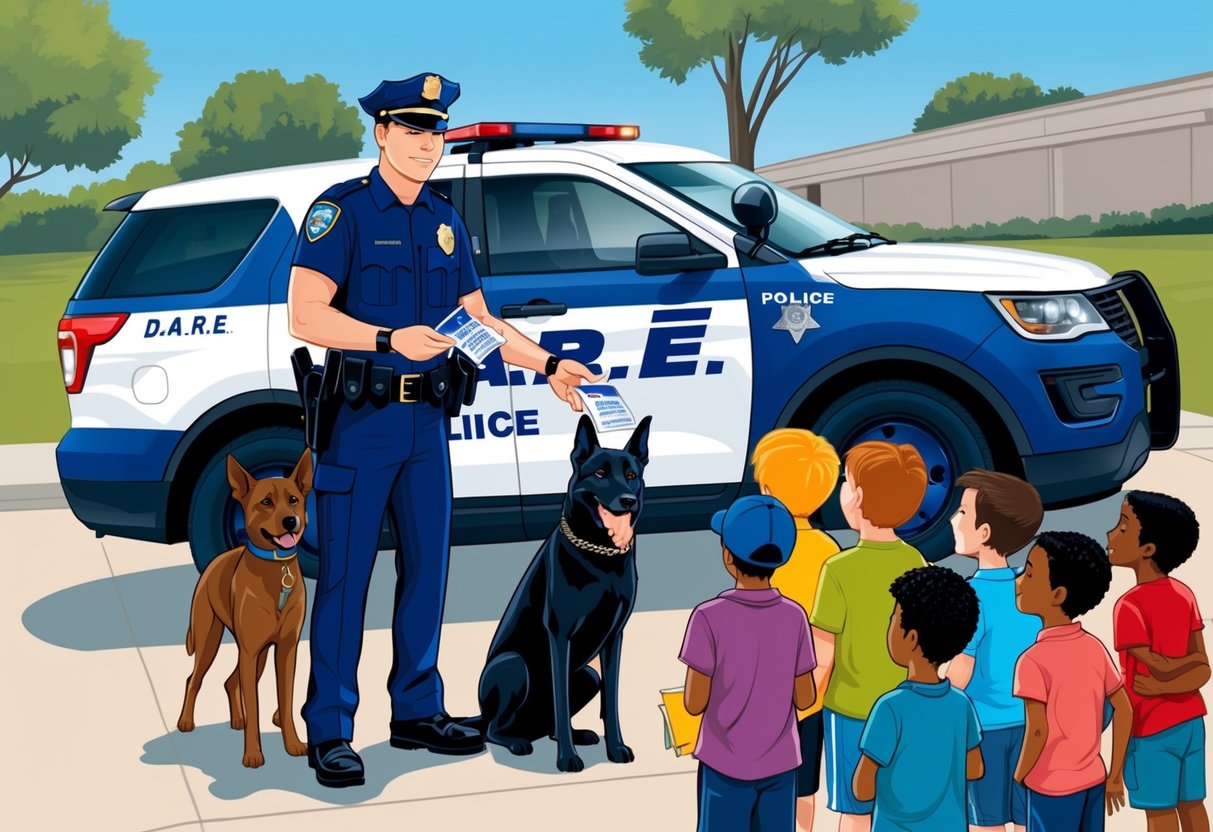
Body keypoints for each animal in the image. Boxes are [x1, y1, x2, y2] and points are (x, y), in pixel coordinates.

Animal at [178, 448, 315, 771]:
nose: (290, 521)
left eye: (293, 499)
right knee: (194, 679)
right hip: (210, 639)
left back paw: (237, 719)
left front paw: (293, 743)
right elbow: (254, 706)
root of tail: (215, 561)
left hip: (260, 653)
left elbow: (286, 699)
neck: (277, 568)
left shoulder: (285, 649)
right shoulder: (250, 651)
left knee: (231, 681)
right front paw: (253, 754)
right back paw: (186, 721)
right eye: (265, 502)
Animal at [465, 414, 650, 771]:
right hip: (513, 666)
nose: (628, 500)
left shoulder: (614, 638)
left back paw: (576, 734)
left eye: (632, 475)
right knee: (494, 729)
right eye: (600, 474)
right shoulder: (560, 635)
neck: (600, 555)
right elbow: (561, 703)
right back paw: (517, 741)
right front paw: (567, 758)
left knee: (548, 723)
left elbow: (611, 702)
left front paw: (616, 748)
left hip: (587, 675)